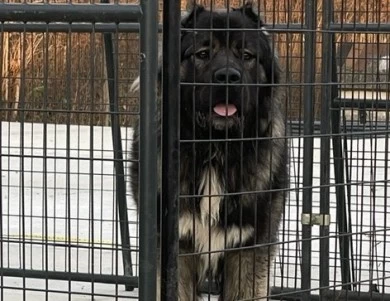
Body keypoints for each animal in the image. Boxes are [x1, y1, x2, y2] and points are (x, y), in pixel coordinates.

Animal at [130, 1, 286, 298]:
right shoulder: (175, 248)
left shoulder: (249, 248)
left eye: (246, 55)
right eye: (203, 53)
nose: (227, 77)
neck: (215, 150)